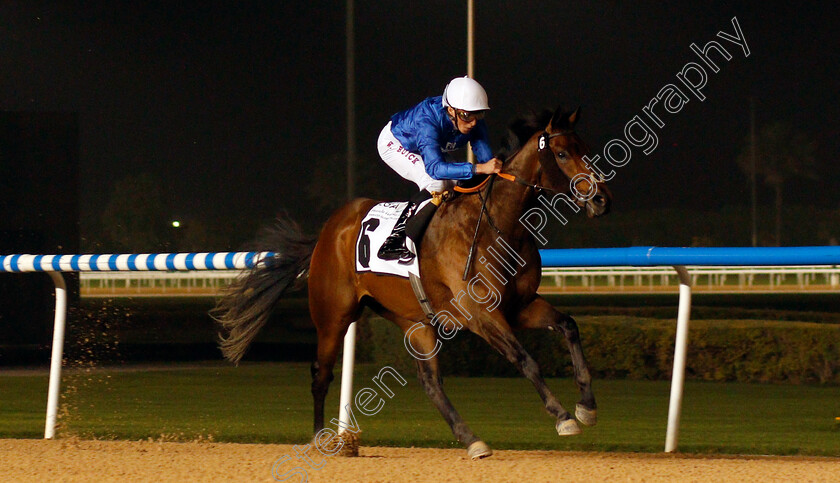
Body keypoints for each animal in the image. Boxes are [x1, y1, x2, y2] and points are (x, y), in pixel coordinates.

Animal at [213, 107, 612, 462]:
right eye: (562, 153)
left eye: (584, 147)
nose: (601, 199)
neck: (498, 224)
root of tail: (327, 233)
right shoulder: (480, 313)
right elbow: (525, 360)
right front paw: (563, 417)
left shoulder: (519, 306)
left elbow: (569, 326)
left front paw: (587, 407)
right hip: (333, 316)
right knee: (320, 374)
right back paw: (321, 440)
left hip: (416, 321)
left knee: (430, 382)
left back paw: (472, 441)